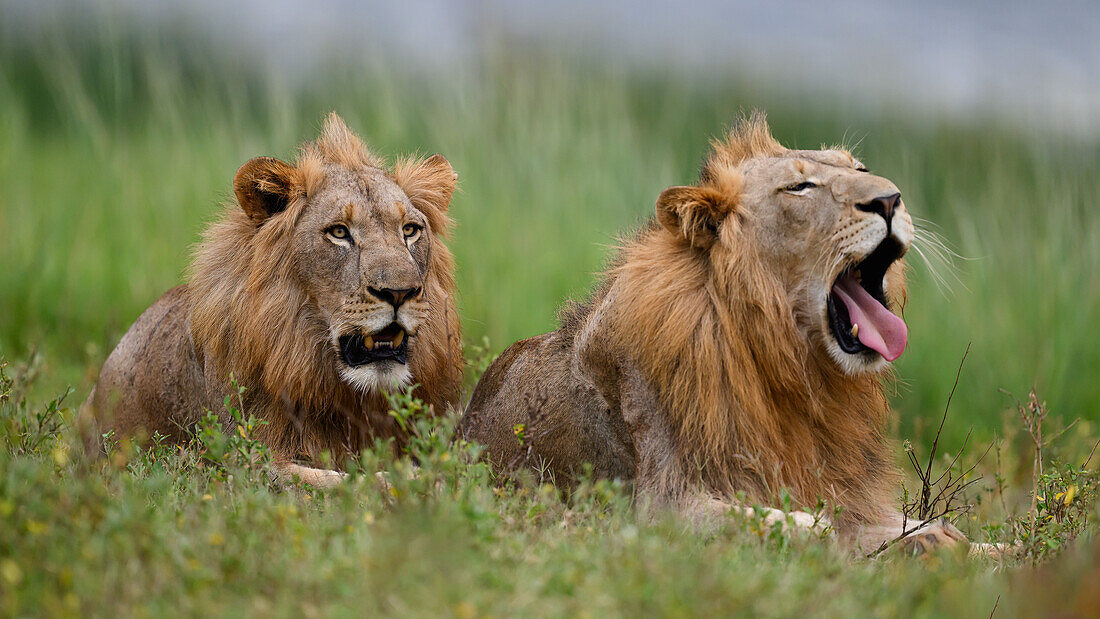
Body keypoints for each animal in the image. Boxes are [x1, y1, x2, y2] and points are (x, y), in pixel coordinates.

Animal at [462, 113, 972, 554]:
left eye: (861, 169)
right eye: (800, 186)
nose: (890, 200)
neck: (791, 367)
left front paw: (940, 540)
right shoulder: (658, 505)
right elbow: (791, 522)